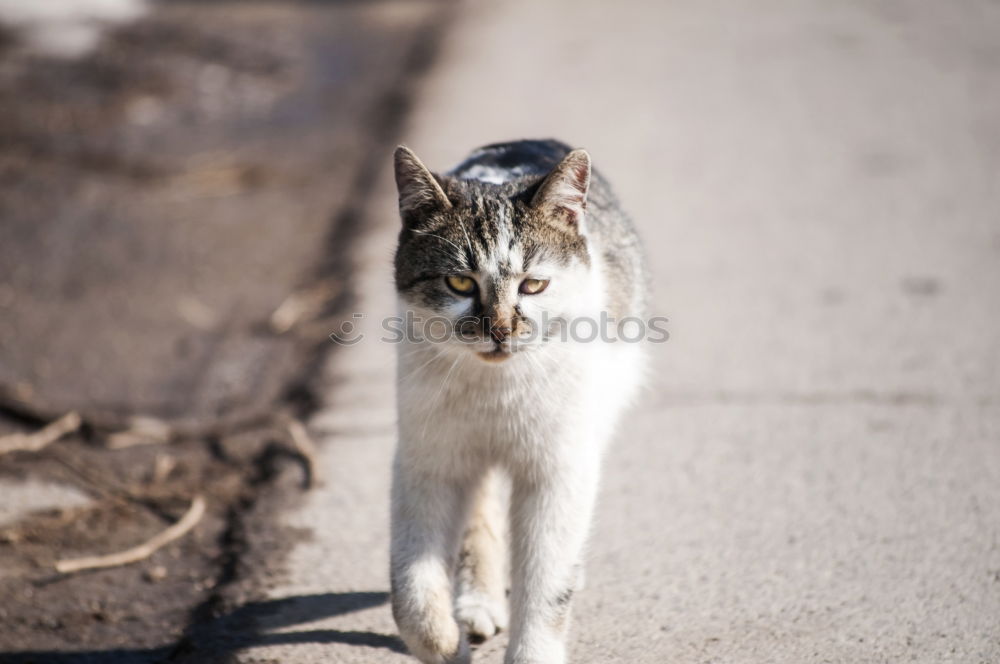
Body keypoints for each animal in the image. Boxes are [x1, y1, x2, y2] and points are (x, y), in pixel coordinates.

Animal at [390, 140, 648, 664]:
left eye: (534, 285)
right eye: (460, 284)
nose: (501, 330)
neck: (496, 387)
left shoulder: (558, 469)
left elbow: (546, 579)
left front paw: (534, 649)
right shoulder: (425, 459)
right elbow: (410, 586)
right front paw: (444, 642)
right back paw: (477, 602)